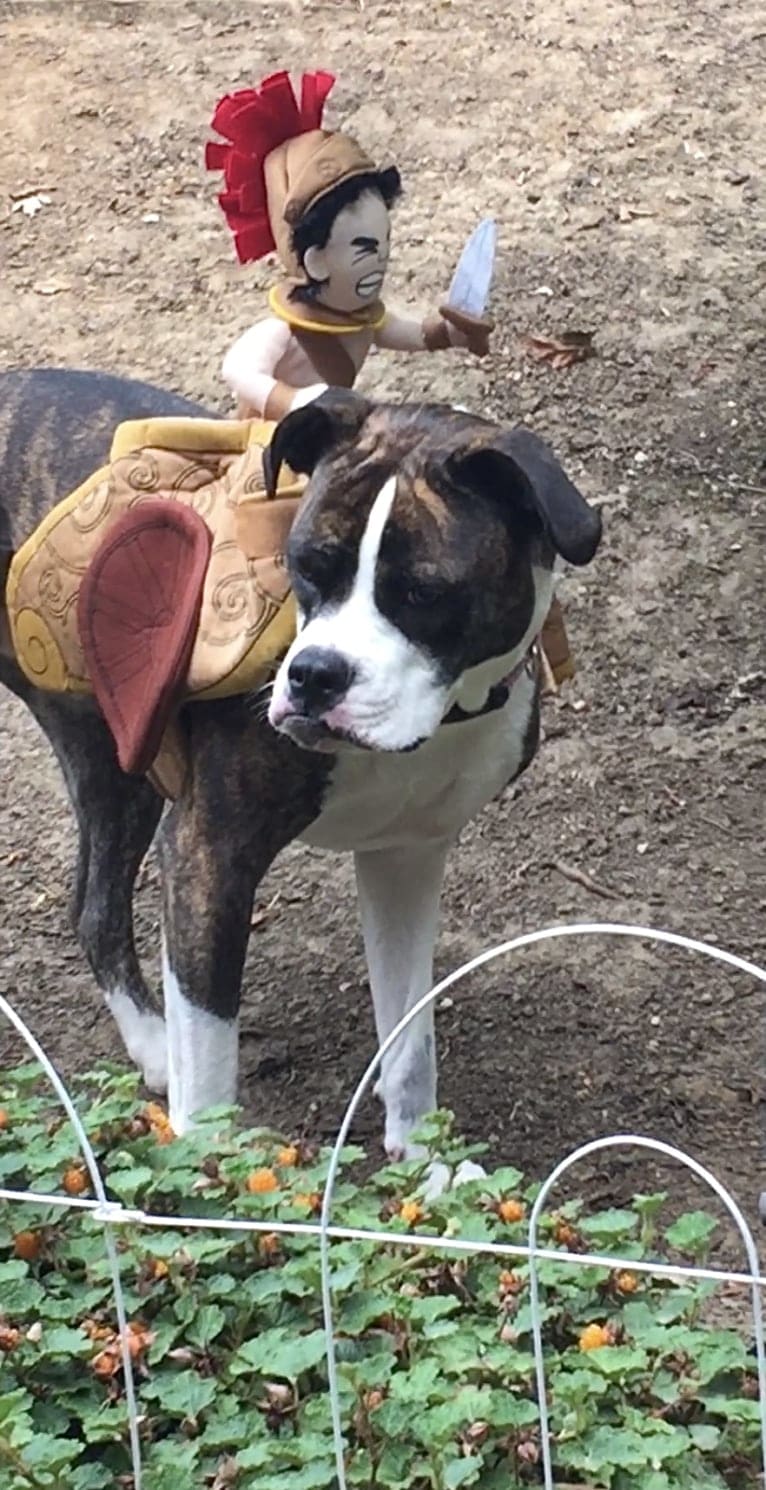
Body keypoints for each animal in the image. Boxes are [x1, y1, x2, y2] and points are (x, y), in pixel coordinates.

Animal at [0, 369, 599, 1162]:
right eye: (305, 564)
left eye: (421, 592)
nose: (315, 675)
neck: (445, 720)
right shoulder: (208, 856)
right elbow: (211, 1074)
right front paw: (209, 1175)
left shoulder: (404, 858)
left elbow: (410, 1040)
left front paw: (427, 1167)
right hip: (115, 761)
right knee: (98, 907)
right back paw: (159, 1048)